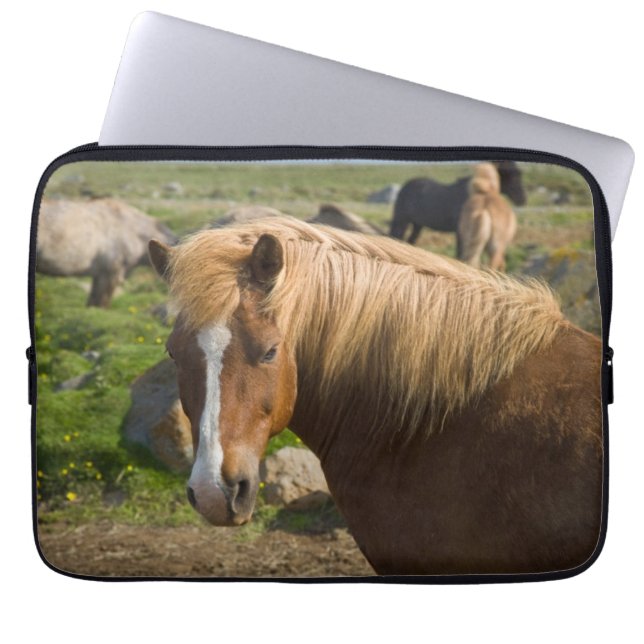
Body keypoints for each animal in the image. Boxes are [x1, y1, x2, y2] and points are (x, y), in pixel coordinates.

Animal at [390, 161, 526, 245]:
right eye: (512, 174)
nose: (522, 199)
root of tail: (406, 186)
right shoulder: (462, 233)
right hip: (402, 221)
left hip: (417, 224)